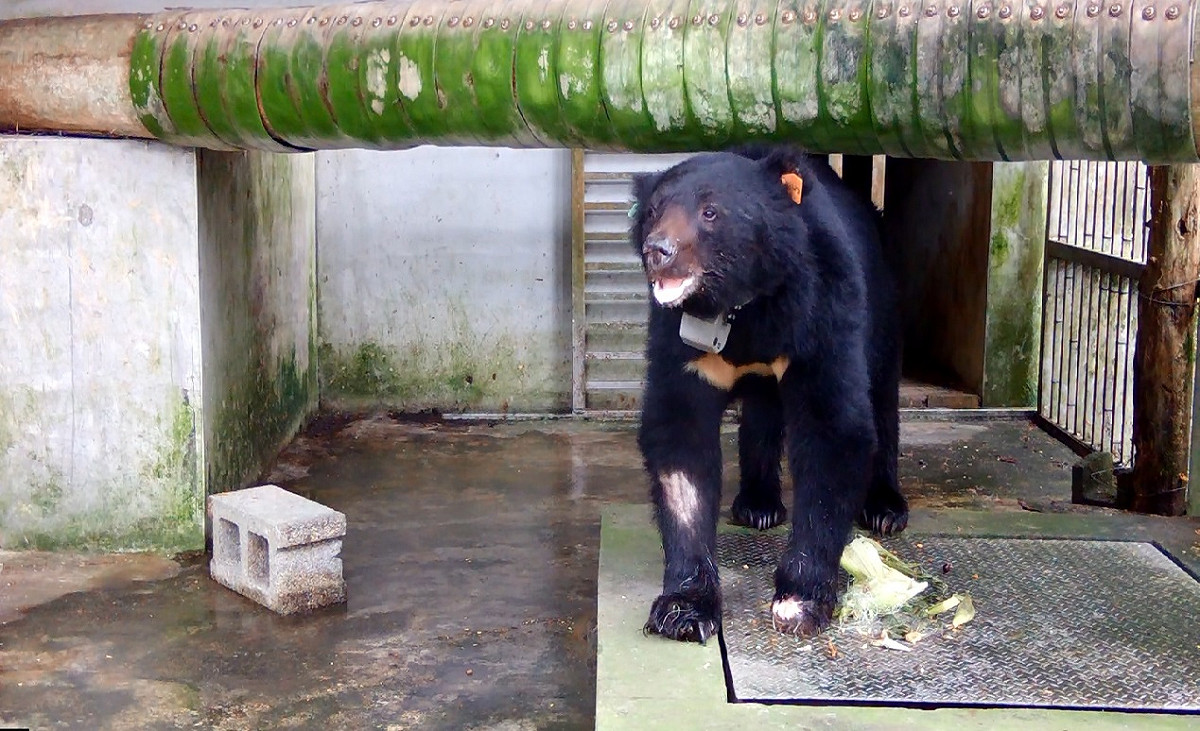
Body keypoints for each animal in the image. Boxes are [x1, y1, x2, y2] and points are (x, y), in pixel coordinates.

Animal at [630, 146, 906, 643]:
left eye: (710, 212)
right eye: (654, 212)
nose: (658, 251)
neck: (743, 306)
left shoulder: (818, 310)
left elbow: (832, 431)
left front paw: (800, 601)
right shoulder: (681, 342)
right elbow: (680, 443)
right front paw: (684, 610)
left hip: (883, 306)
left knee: (882, 398)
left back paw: (885, 508)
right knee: (761, 417)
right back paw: (757, 505)